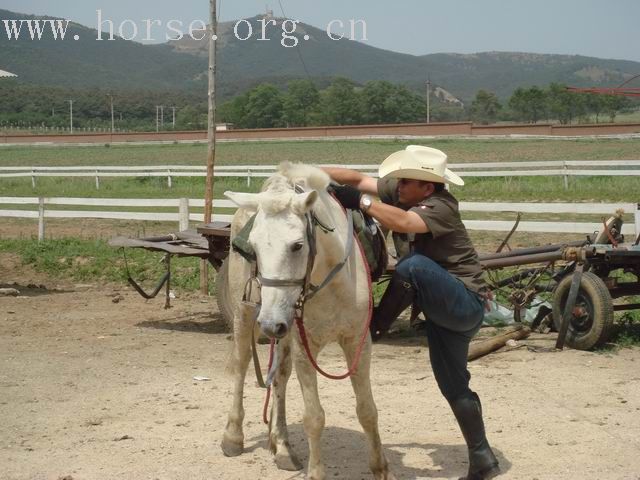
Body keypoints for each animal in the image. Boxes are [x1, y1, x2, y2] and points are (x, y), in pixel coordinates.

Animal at [221, 164, 396, 480]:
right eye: (253, 248)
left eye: (297, 245)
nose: (269, 323)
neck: (332, 283)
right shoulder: (306, 347)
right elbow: (314, 417)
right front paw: (316, 472)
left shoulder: (358, 343)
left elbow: (367, 409)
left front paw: (380, 468)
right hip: (247, 316)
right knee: (241, 365)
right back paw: (233, 437)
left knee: (279, 376)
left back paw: (281, 446)